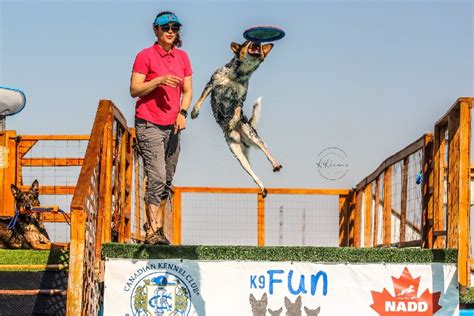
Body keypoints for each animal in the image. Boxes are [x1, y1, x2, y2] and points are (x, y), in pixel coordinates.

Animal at [192, 40, 282, 196]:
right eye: (248, 43)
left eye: (259, 44)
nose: (257, 41)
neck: (238, 75)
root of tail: (242, 139)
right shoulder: (212, 83)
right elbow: (201, 98)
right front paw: (194, 111)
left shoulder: (241, 98)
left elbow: (237, 110)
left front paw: (233, 120)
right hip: (239, 155)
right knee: (252, 172)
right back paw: (262, 186)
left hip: (251, 135)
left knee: (265, 149)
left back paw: (275, 164)